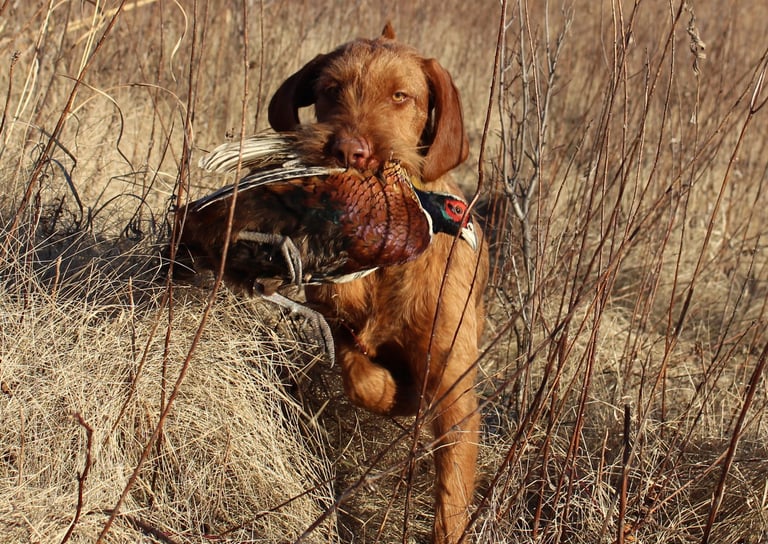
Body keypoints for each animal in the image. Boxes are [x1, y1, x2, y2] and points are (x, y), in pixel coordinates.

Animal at [268, 24, 489, 543]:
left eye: (400, 96)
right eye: (331, 90)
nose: (349, 151)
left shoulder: (456, 392)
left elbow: (452, 496)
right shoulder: (337, 321)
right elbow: (361, 378)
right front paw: (397, 394)